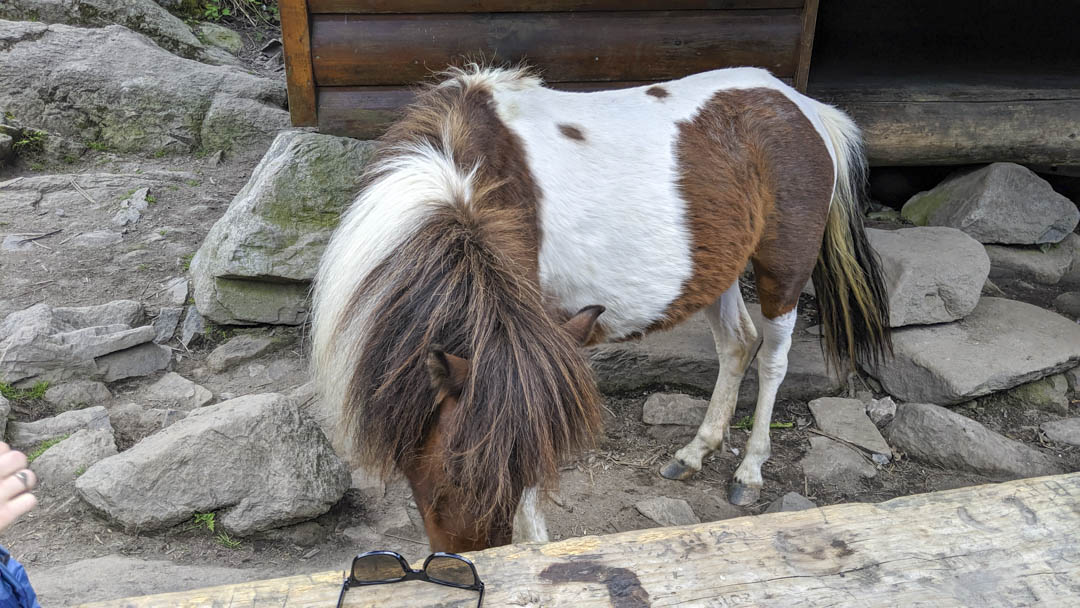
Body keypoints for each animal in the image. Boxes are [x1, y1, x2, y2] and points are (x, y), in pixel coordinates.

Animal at [312, 63, 890, 553]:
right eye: (454, 472)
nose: (473, 558)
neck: (465, 179)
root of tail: (804, 105)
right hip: (718, 267)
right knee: (737, 344)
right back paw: (694, 452)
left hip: (783, 269)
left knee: (772, 359)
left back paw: (749, 472)